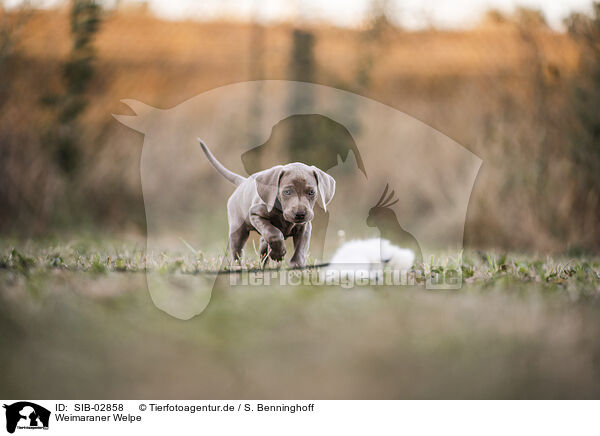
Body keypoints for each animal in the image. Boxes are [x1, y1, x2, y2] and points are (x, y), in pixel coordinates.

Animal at [199, 139, 336, 266]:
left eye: (311, 192)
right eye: (287, 192)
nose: (300, 214)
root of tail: (243, 182)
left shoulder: (304, 227)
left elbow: (300, 250)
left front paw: (296, 266)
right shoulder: (255, 214)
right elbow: (274, 233)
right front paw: (278, 254)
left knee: (262, 247)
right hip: (237, 229)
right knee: (237, 253)